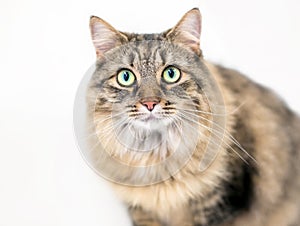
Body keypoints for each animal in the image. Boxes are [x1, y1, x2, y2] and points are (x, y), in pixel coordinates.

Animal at [84, 7, 300, 226]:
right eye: (125, 77)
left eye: (171, 74)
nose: (150, 103)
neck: (158, 156)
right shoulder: (141, 211)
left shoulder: (219, 203)